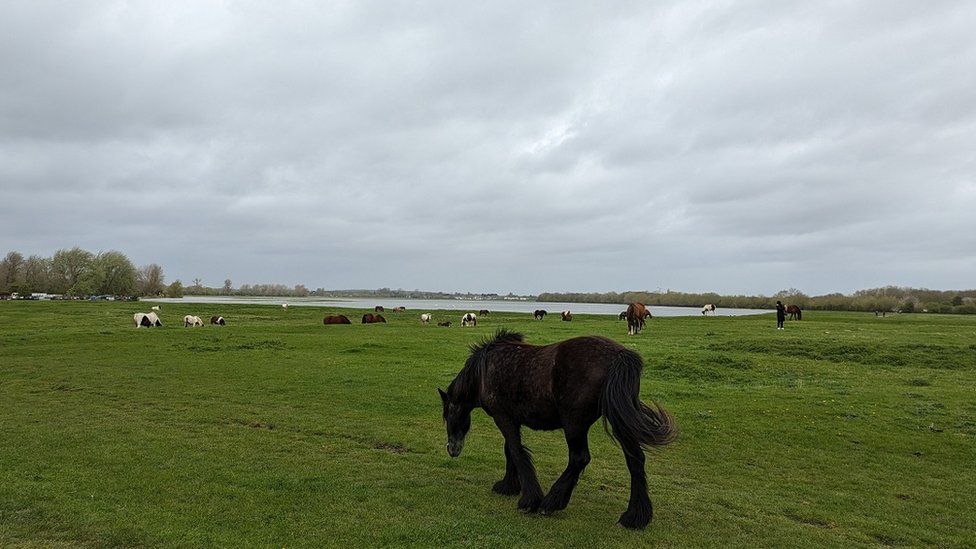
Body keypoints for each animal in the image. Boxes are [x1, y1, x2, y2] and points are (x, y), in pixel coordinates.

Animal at [438, 328, 676, 528]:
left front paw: (528, 499)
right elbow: (510, 450)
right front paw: (508, 486)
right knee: (635, 459)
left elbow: (515, 451)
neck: (483, 371)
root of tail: (620, 355)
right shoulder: (512, 419)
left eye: (448, 414)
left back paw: (550, 503)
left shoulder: (503, 417)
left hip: (574, 423)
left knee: (579, 458)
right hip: (618, 420)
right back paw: (634, 517)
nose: (451, 449)